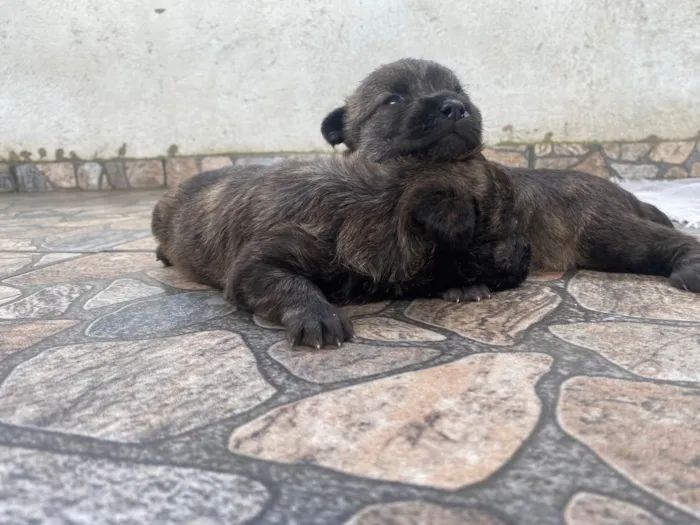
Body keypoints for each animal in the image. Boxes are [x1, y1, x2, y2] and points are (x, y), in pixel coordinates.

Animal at [150, 143, 528, 348]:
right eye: (510, 226)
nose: (528, 249)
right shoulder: (255, 265)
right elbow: (290, 284)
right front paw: (318, 315)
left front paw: (461, 287)